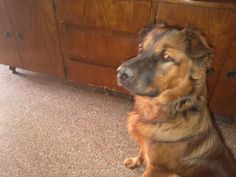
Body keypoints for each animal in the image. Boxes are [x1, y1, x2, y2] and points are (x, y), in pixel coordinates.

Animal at [116, 22, 236, 177]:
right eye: (141, 48)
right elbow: (142, 150)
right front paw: (136, 161)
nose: (121, 73)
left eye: (166, 56)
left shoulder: (157, 167)